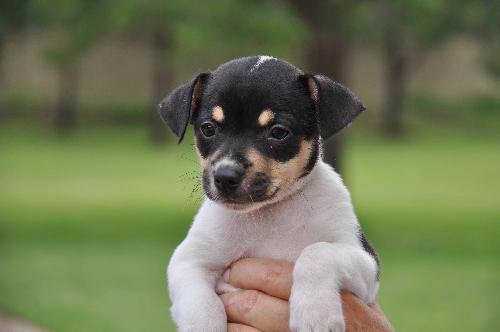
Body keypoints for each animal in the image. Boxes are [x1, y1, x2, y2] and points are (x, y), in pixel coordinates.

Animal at [160, 55, 378, 330]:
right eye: (208, 129)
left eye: (278, 132)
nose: (225, 176)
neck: (268, 215)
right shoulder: (188, 261)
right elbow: (201, 305)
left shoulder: (364, 261)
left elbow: (317, 252)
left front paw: (314, 313)